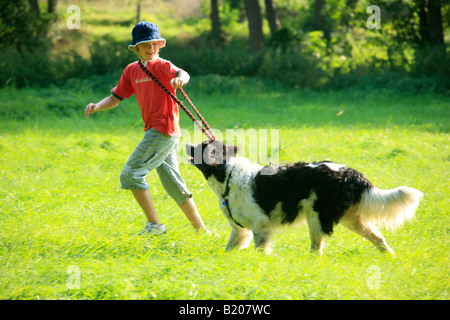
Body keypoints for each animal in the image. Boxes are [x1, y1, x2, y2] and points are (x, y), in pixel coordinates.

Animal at [185, 140, 422, 255]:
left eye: (201, 146)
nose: (186, 144)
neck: (228, 173)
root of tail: (350, 172)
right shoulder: (240, 230)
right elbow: (229, 248)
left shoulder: (260, 224)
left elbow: (261, 249)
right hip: (350, 219)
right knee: (378, 237)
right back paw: (389, 256)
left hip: (316, 216)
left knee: (317, 249)